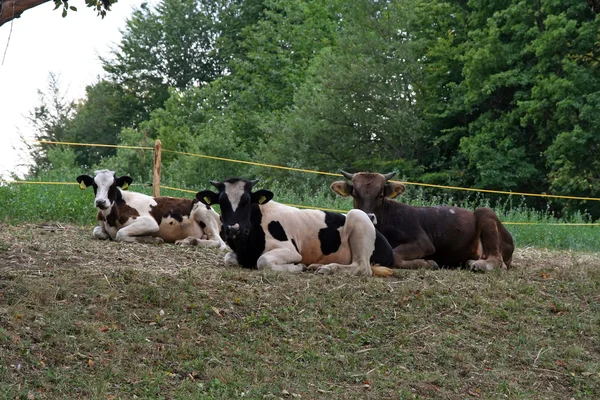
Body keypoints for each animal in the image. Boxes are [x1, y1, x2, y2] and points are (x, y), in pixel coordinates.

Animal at [75, 170, 225, 250]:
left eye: (113, 185)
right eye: (94, 185)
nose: (100, 202)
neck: (110, 217)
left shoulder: (149, 222)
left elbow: (120, 234)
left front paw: (153, 239)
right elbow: (97, 232)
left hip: (202, 212)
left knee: (219, 243)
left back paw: (189, 241)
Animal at [195, 177, 396, 276]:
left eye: (246, 201)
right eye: (221, 202)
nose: (233, 228)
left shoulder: (291, 250)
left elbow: (263, 261)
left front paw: (297, 267)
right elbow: (228, 258)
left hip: (358, 217)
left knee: (362, 267)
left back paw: (328, 268)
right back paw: (317, 266)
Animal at [330, 172, 512, 272]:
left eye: (380, 195)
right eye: (355, 194)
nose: (368, 216)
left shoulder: (423, 242)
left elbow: (395, 256)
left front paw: (429, 263)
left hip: (485, 213)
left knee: (497, 260)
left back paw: (478, 265)